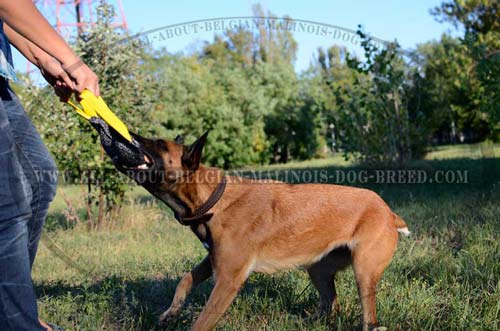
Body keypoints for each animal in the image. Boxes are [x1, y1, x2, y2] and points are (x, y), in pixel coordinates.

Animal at [116, 132, 410, 331]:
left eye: (159, 145)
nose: (131, 135)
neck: (213, 199)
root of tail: (387, 211)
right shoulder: (213, 261)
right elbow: (185, 281)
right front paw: (171, 312)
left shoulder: (228, 279)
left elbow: (201, 322)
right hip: (318, 269)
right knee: (332, 305)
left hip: (363, 273)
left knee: (368, 319)